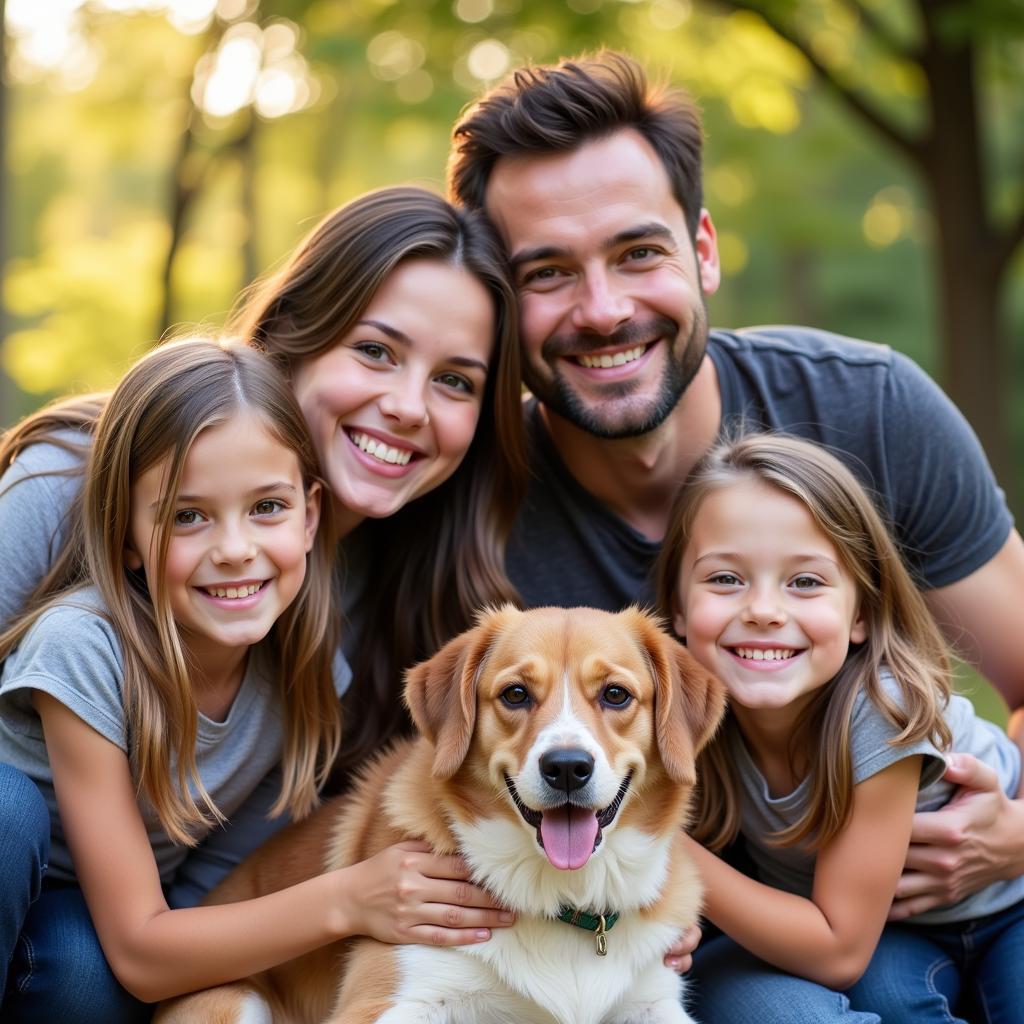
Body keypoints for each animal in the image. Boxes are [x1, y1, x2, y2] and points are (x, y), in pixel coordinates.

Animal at [155, 606, 724, 1024]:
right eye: (516, 694)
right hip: (235, 1001)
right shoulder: (387, 1000)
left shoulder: (653, 1002)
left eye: (615, 695)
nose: (566, 768)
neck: (558, 895)